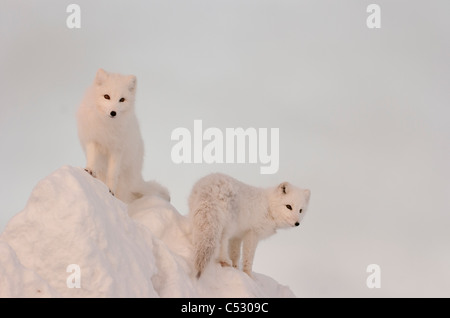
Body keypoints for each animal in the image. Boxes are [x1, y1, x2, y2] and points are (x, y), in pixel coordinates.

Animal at [76, 68, 170, 204]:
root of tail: (137, 178)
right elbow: (92, 159)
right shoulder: (93, 140)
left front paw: (110, 191)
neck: (107, 125)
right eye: (106, 96)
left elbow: (112, 174)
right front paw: (89, 170)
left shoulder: (117, 150)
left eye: (122, 99)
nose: (113, 112)